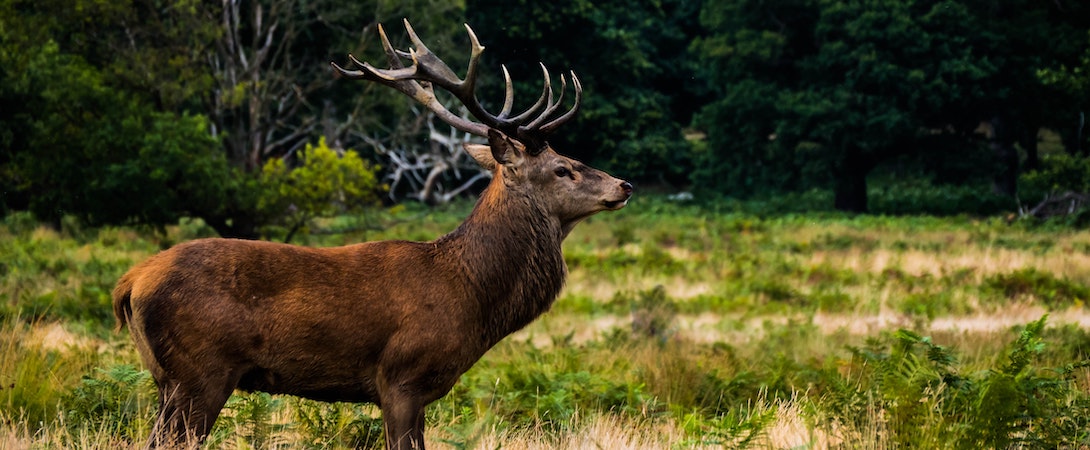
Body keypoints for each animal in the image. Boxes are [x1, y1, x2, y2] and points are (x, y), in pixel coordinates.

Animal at [111, 20, 632, 450]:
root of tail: (130, 283)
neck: (469, 295)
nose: (624, 185)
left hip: (167, 379)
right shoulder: (400, 378)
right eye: (563, 168)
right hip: (200, 371)